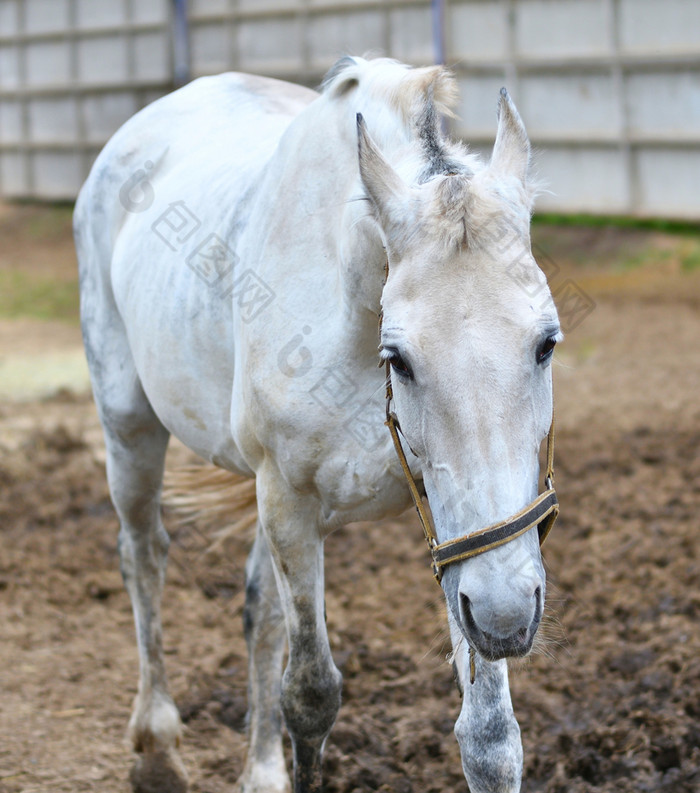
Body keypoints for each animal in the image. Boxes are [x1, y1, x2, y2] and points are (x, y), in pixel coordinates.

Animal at [74, 55, 560, 792]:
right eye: (401, 359)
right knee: (144, 557)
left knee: (258, 607)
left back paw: (259, 769)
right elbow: (309, 695)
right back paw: (157, 746)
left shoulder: (461, 532)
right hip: (128, 426)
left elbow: (490, 738)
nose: (508, 615)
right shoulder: (289, 502)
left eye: (546, 343)